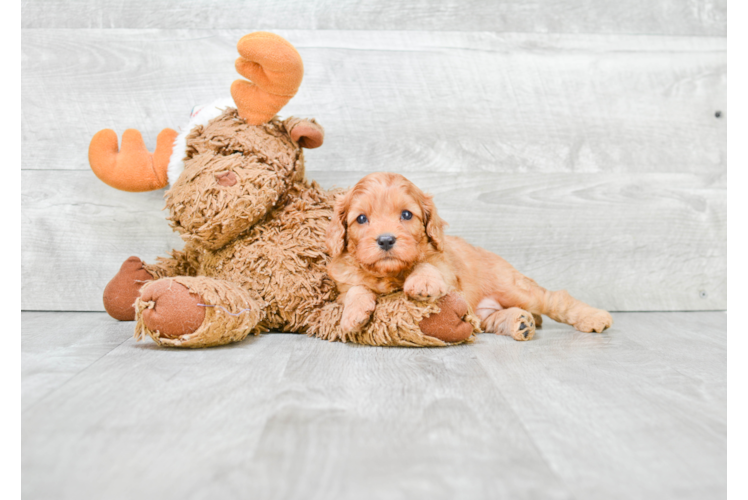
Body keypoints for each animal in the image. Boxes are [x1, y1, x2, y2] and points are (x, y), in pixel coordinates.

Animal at [328, 172, 612, 340]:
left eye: (406, 215)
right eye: (361, 219)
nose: (386, 240)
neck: (391, 274)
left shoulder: (448, 273)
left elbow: (428, 264)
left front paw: (422, 281)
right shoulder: (343, 284)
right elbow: (355, 289)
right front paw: (353, 314)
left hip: (514, 288)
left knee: (555, 298)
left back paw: (593, 317)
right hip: (483, 314)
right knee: (493, 320)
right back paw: (520, 323)